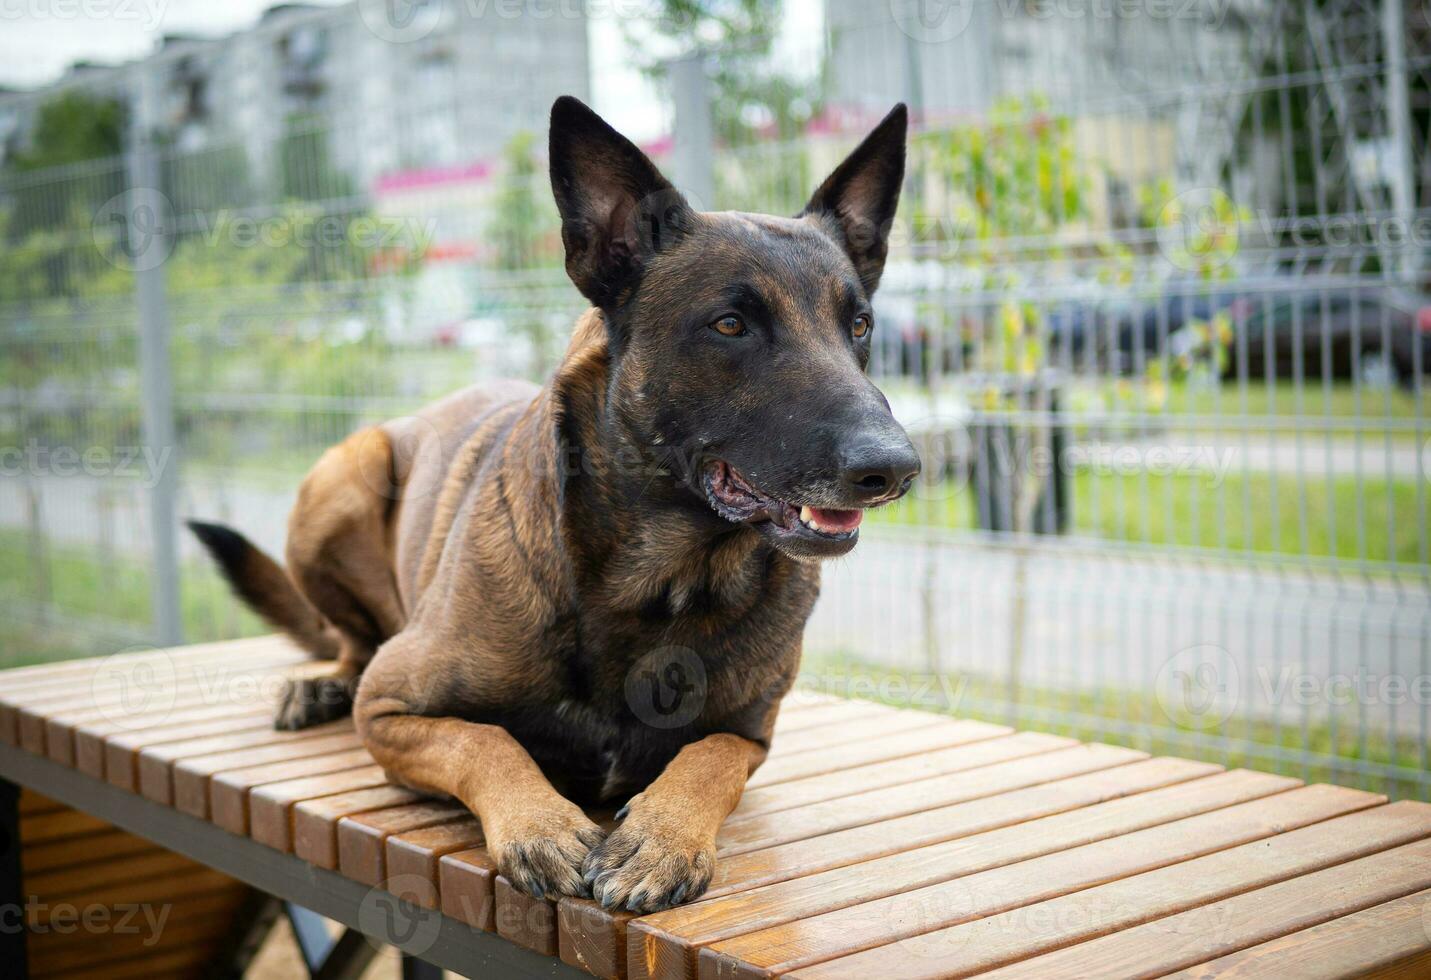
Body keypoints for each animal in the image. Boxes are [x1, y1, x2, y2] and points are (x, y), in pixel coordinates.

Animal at [190, 97, 921, 909]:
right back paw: (317, 686)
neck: (661, 583)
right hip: (343, 477)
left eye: (859, 326)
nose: (895, 468)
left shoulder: (751, 734)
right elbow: (486, 739)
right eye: (730, 324)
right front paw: (540, 823)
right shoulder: (388, 707)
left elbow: (709, 758)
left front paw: (663, 836)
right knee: (350, 644)